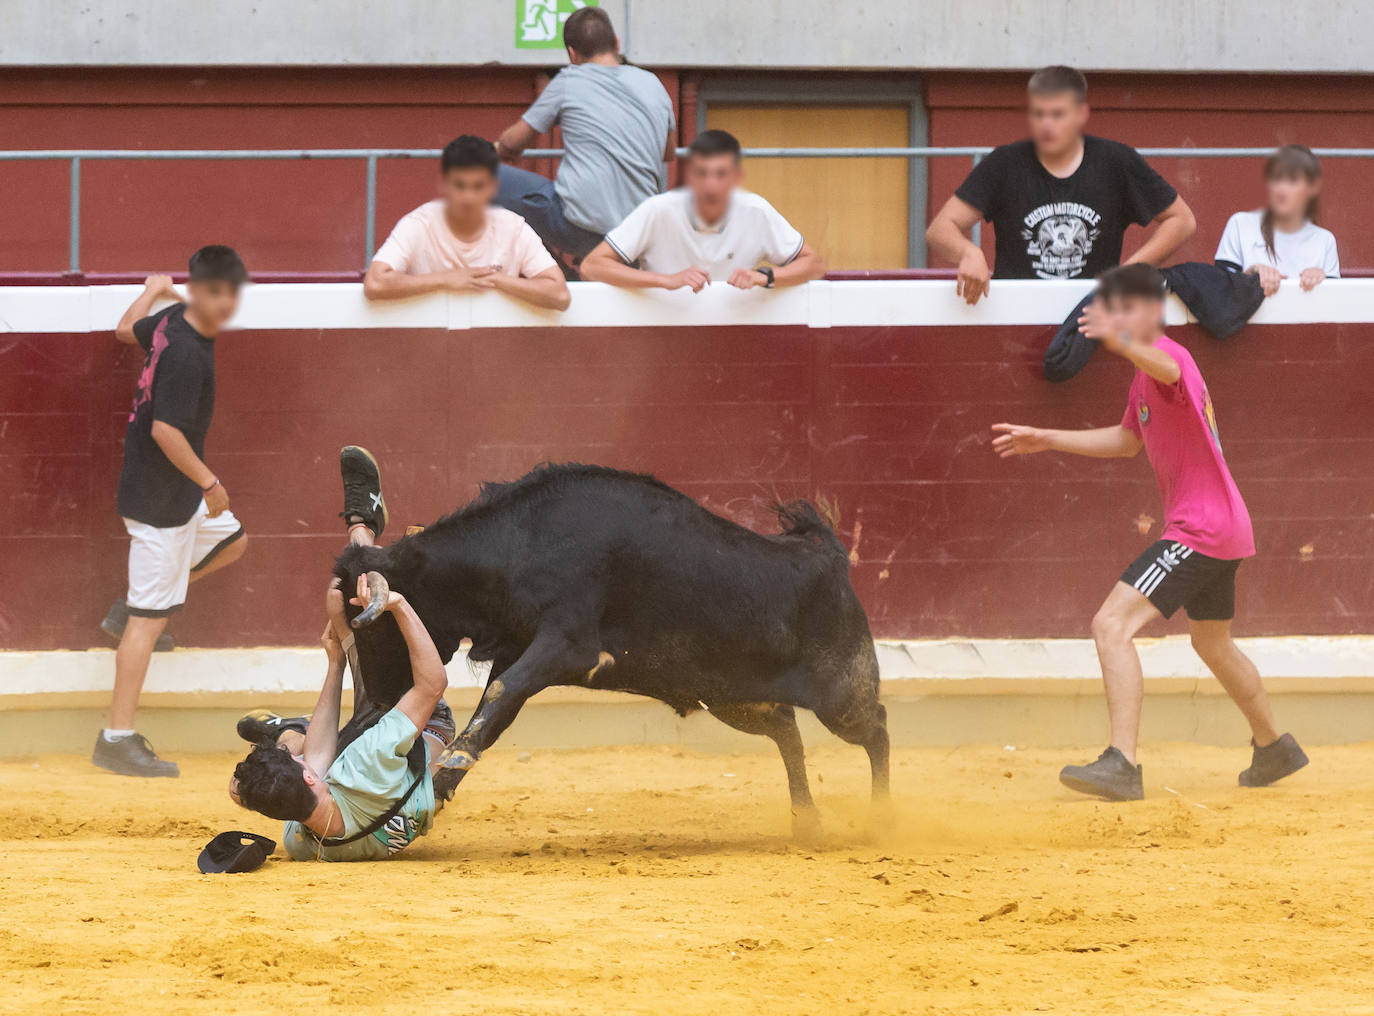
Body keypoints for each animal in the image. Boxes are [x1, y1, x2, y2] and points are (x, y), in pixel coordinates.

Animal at [332, 464, 890, 830]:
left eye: (374, 627)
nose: (373, 712)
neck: (523, 541)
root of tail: (828, 555)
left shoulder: (568, 645)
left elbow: (501, 695)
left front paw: (449, 764)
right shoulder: (520, 648)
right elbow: (498, 709)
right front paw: (444, 784)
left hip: (840, 696)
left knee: (876, 729)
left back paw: (879, 819)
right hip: (737, 700)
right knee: (789, 735)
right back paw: (806, 820)